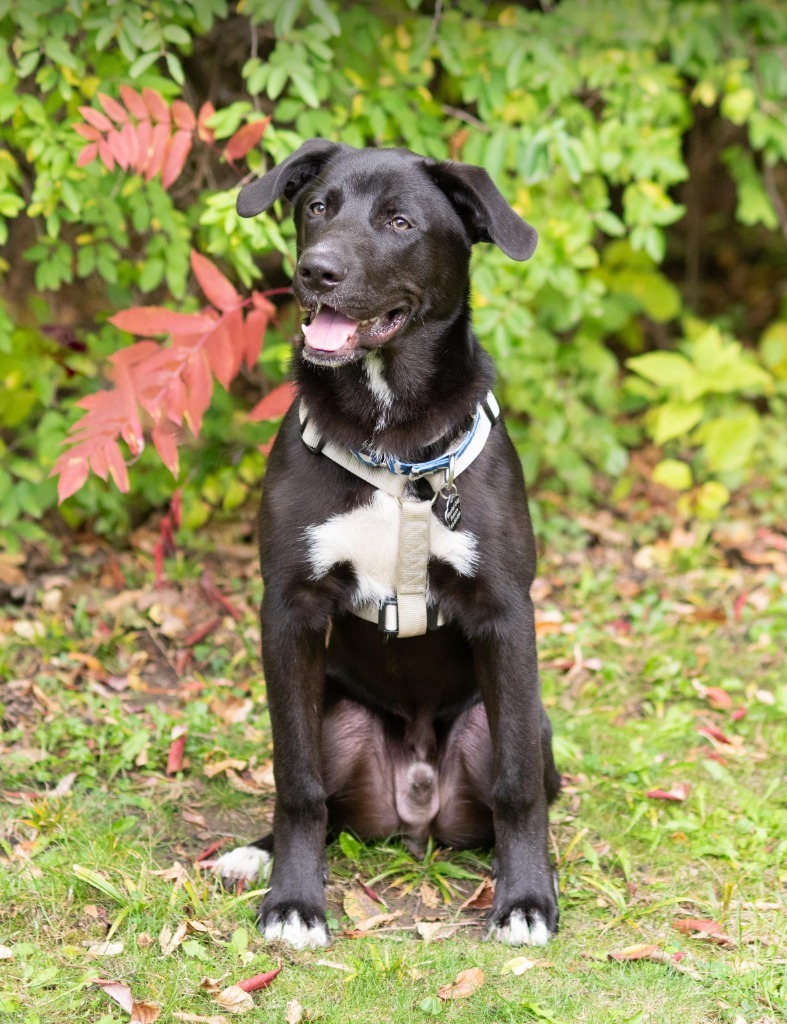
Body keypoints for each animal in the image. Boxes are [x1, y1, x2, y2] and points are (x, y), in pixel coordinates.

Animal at [211, 140, 560, 946]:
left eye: (400, 222)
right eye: (317, 208)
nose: (317, 271)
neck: (390, 437)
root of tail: (417, 808)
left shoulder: (505, 613)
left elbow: (517, 785)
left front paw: (527, 899)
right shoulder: (289, 611)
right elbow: (296, 780)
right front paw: (293, 901)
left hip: (517, 723)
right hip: (335, 714)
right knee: (319, 795)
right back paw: (255, 852)